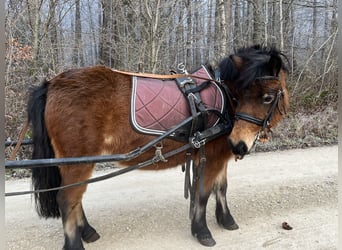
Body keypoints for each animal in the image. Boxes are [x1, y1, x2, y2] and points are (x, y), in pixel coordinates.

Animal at [26, 45, 288, 250]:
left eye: (267, 97)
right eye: (240, 96)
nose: (239, 144)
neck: (223, 96)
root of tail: (52, 83)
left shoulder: (218, 156)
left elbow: (221, 188)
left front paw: (226, 220)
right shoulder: (211, 157)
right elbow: (203, 193)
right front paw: (202, 231)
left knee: (75, 199)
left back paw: (88, 232)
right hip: (77, 162)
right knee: (67, 200)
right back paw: (75, 243)